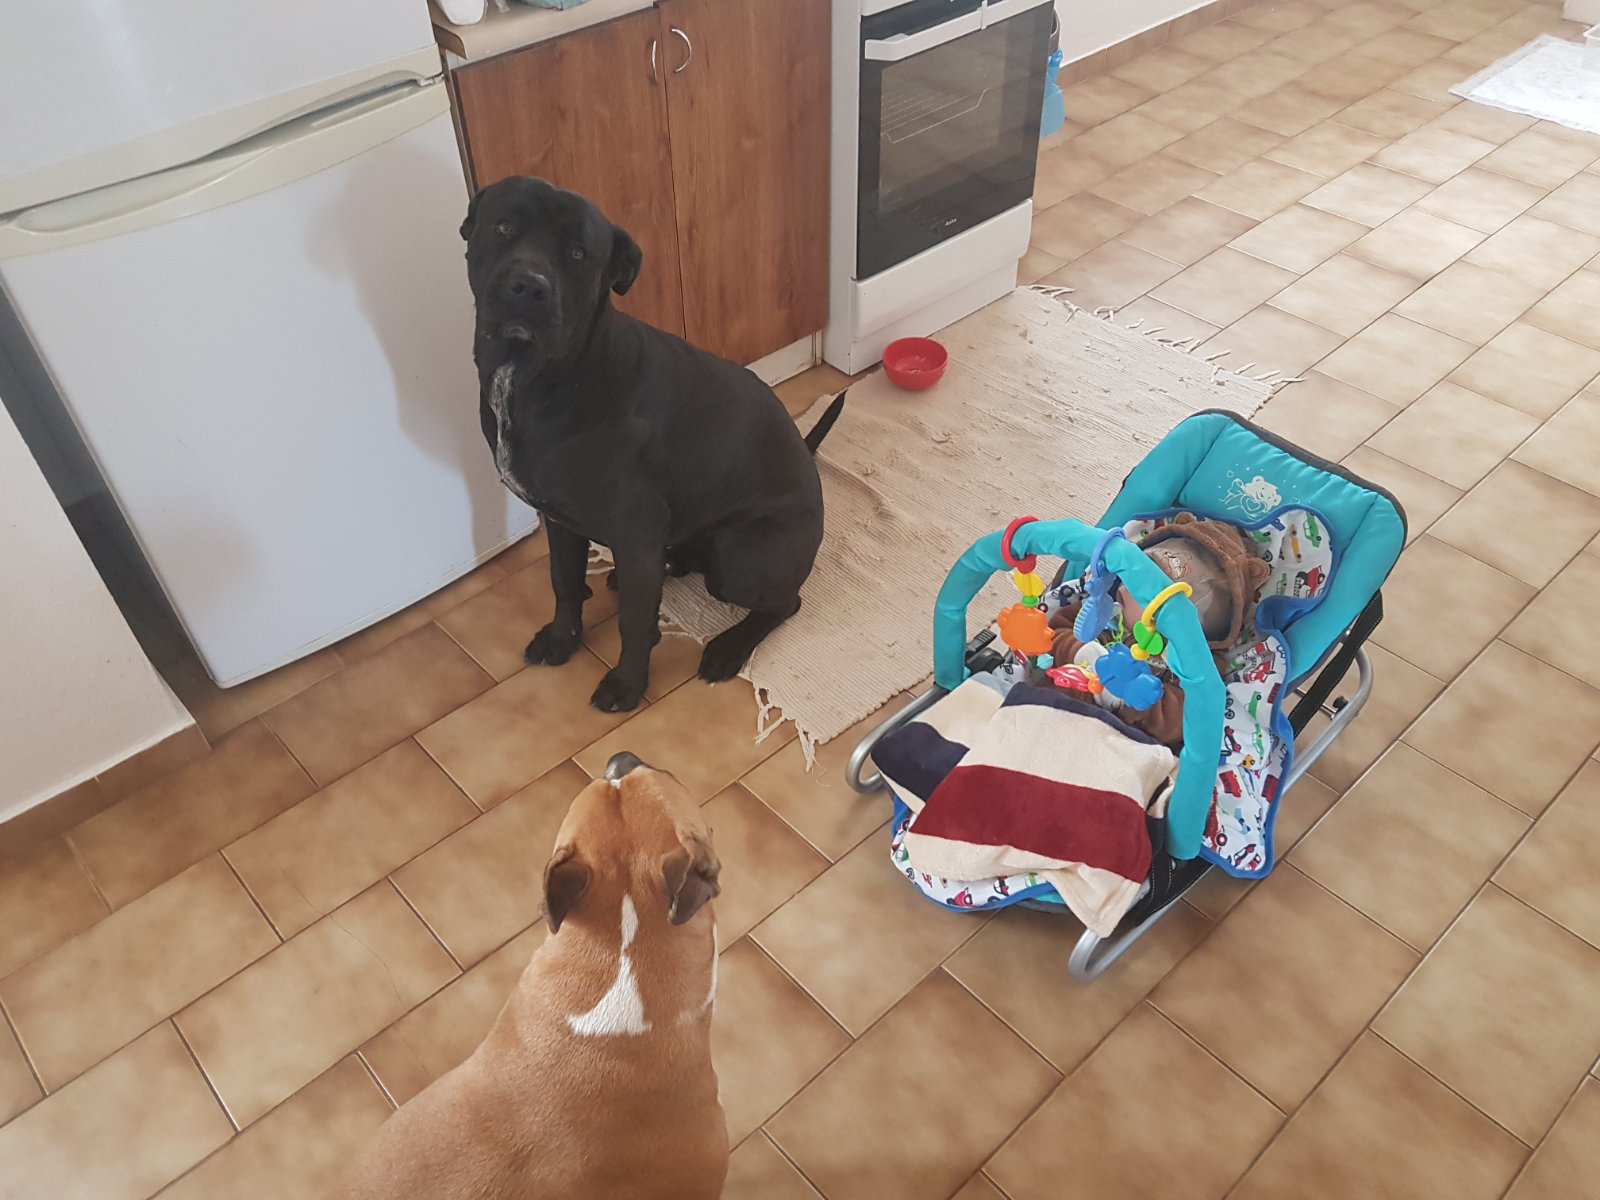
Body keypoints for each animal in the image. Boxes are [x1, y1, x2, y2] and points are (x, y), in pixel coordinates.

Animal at [461, 177, 845, 713]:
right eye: (503, 227)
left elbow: (636, 624)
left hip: (740, 563)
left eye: (578, 253)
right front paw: (562, 639)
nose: (530, 286)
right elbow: (563, 581)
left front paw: (627, 684)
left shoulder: (635, 532)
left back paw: (726, 649)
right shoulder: (560, 522)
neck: (543, 377)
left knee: (785, 602)